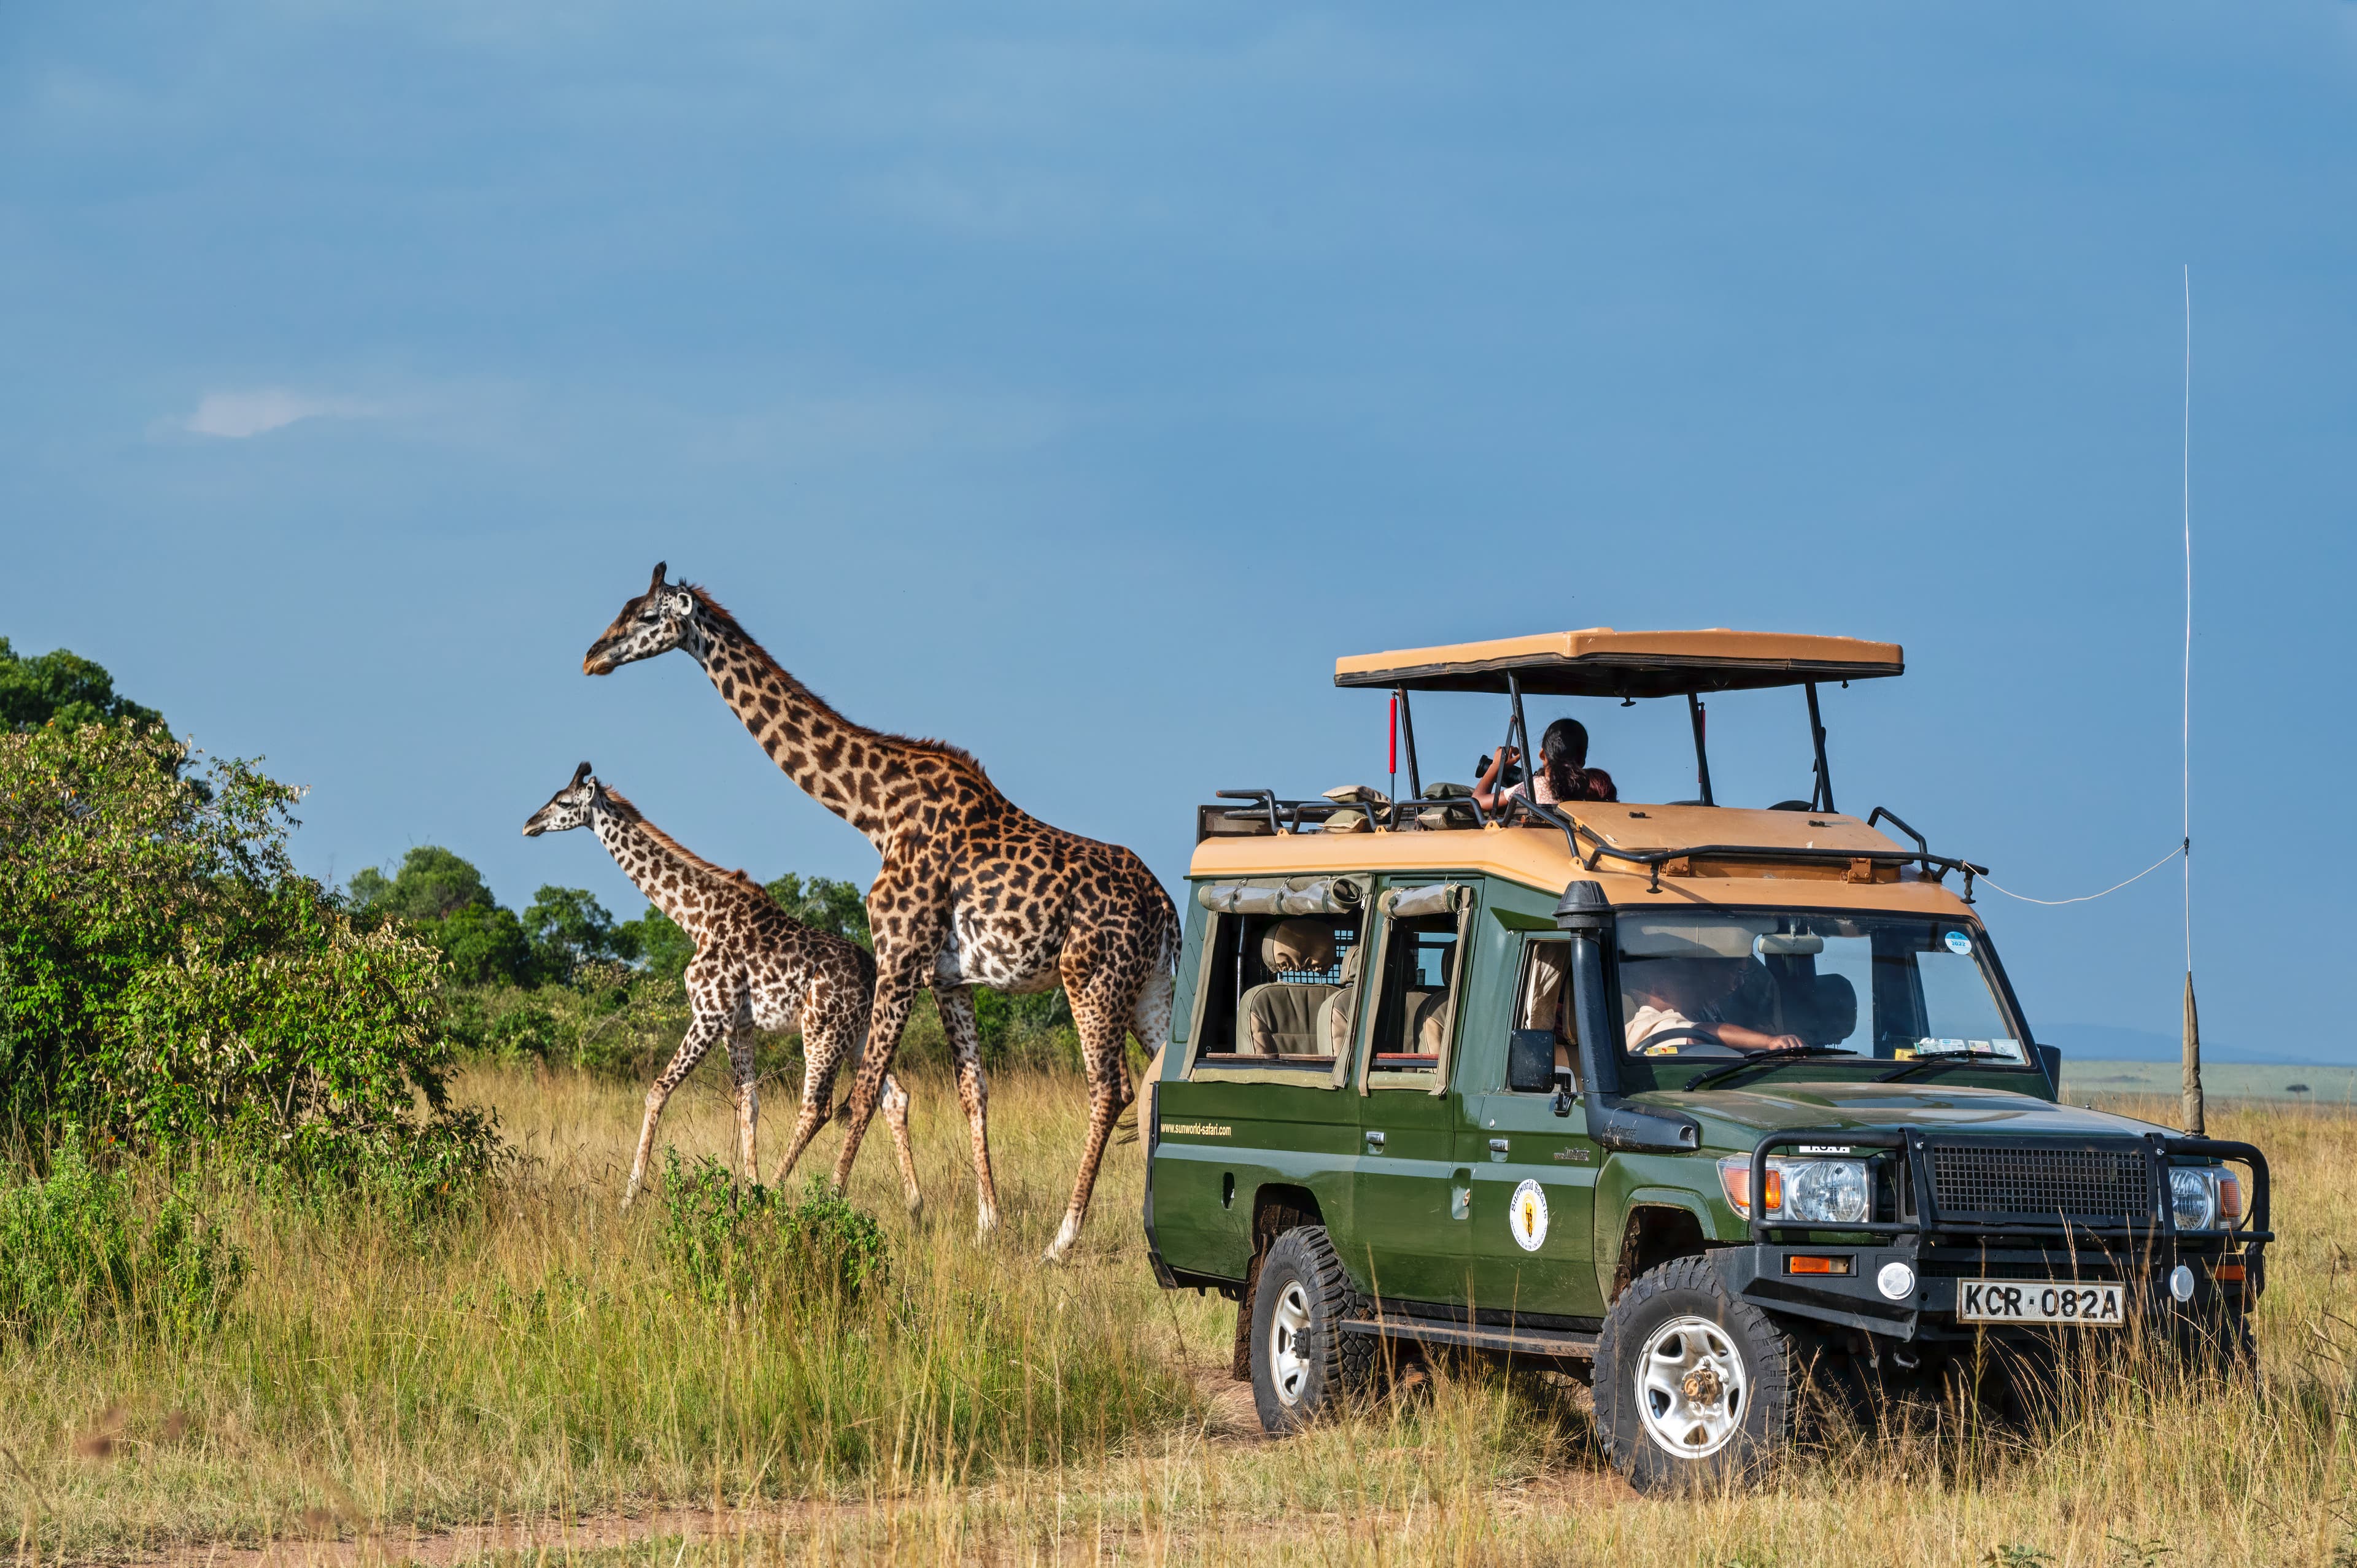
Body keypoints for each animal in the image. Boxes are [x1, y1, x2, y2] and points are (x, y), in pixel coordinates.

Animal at [521, 763, 914, 1202]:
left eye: (563, 802)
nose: (529, 825)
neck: (696, 918)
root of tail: (874, 976)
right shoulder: (738, 1024)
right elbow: (749, 1102)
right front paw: (750, 1188)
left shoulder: (710, 1014)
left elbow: (658, 1090)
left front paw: (629, 1196)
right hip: (860, 1034)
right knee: (892, 1097)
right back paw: (914, 1204)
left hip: (823, 1030)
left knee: (818, 1106)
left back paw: (783, 1190)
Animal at [584, 566, 1174, 1264]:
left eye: (647, 616)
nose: (592, 656)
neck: (874, 809)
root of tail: (1166, 908)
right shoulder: (947, 976)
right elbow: (971, 1091)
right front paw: (987, 1224)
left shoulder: (899, 954)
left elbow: (859, 1094)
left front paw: (821, 1205)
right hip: (1151, 989)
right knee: (1168, 1080)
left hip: (1094, 980)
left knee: (1110, 1089)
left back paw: (1063, 1239)